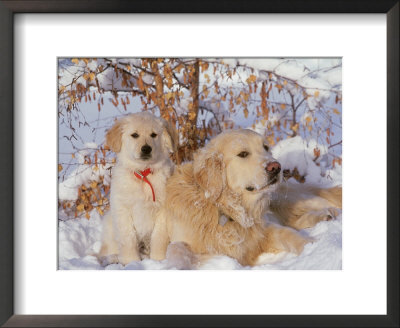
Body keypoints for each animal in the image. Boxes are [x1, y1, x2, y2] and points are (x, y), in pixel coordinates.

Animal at [97, 111, 176, 266]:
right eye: (134, 135)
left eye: (153, 135)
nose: (146, 149)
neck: (143, 175)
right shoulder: (123, 210)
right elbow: (128, 239)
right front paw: (131, 262)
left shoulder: (163, 211)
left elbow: (159, 237)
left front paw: (159, 260)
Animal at [150, 128, 340, 266]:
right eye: (243, 154)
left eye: (266, 148)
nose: (276, 167)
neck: (225, 210)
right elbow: (176, 249)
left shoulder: (264, 231)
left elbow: (289, 234)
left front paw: (312, 246)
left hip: (285, 199)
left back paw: (329, 214)